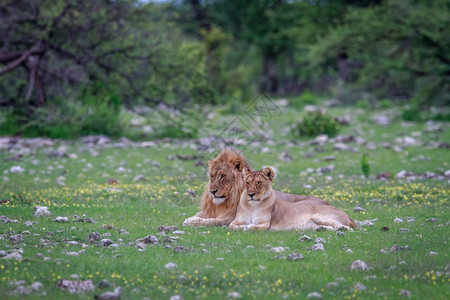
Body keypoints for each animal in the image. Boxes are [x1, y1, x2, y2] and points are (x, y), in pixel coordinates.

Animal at [181, 149, 322, 226]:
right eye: (212, 176)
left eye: (222, 176)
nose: (212, 191)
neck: (223, 203)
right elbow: (201, 215)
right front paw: (191, 218)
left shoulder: (231, 218)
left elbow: (212, 221)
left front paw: (191, 222)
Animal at [229, 168, 358, 231]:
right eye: (247, 183)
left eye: (259, 183)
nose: (251, 194)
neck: (252, 206)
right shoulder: (235, 221)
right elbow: (232, 226)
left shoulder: (265, 224)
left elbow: (252, 226)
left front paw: (246, 227)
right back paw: (321, 229)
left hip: (321, 216)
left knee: (344, 227)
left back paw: (342, 228)